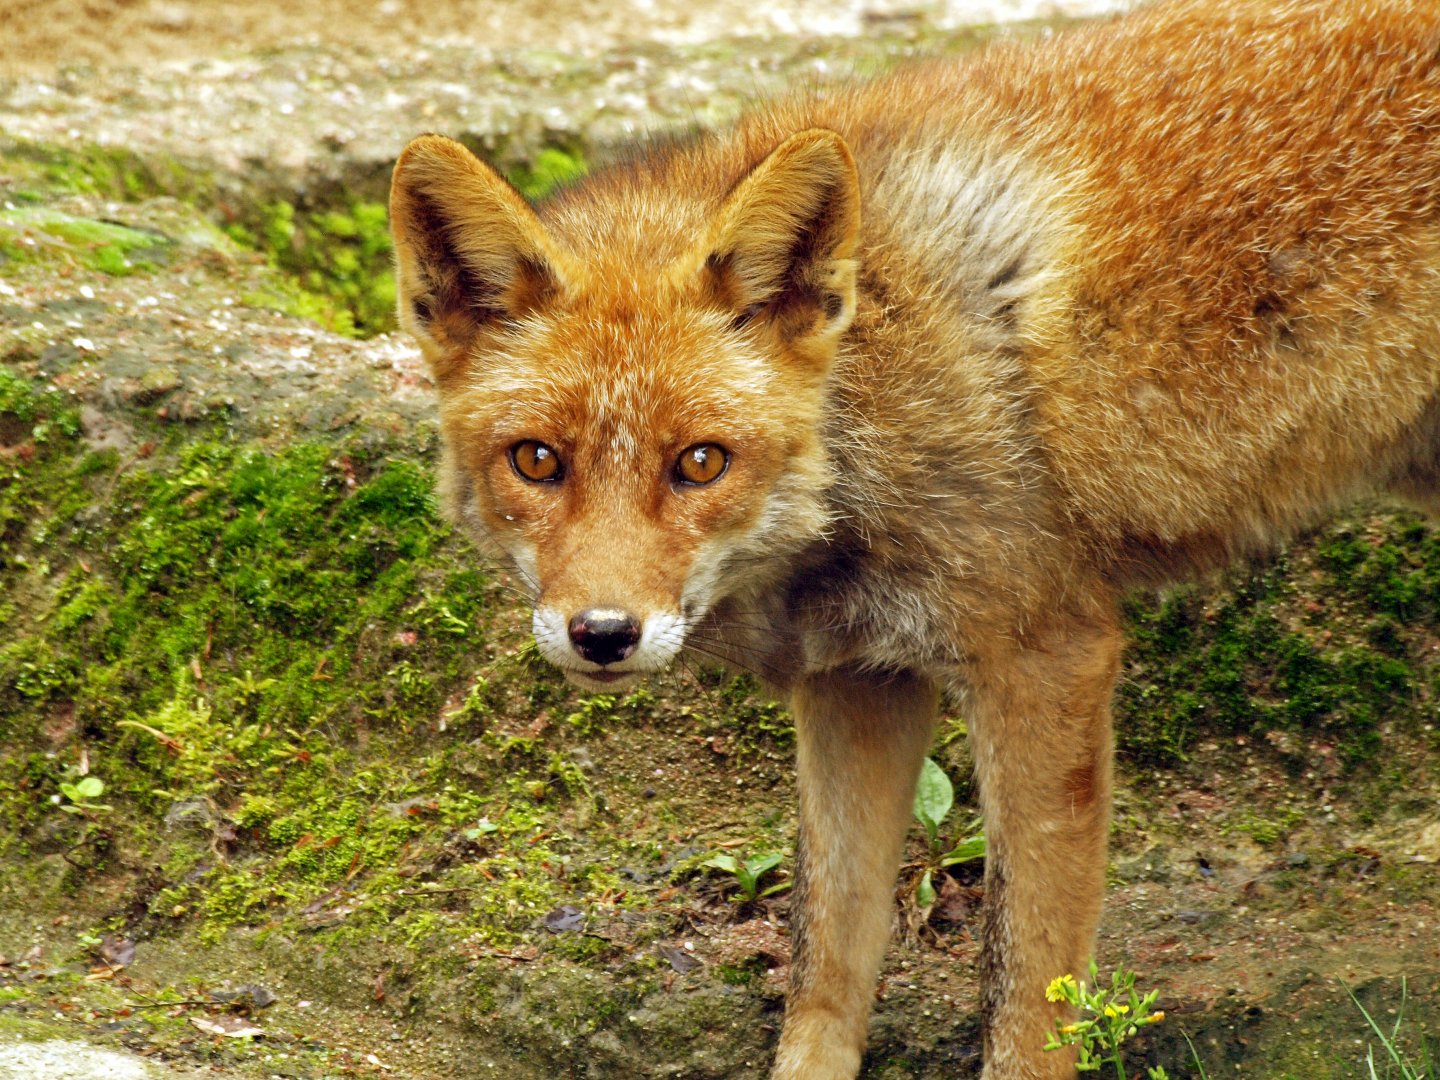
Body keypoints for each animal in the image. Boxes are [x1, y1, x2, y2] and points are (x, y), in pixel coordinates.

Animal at [387, 0, 1440, 1075]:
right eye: (538, 461)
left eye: (701, 463)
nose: (602, 635)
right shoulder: (857, 678)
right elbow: (827, 956)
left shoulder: (1047, 655)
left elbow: (1024, 986)